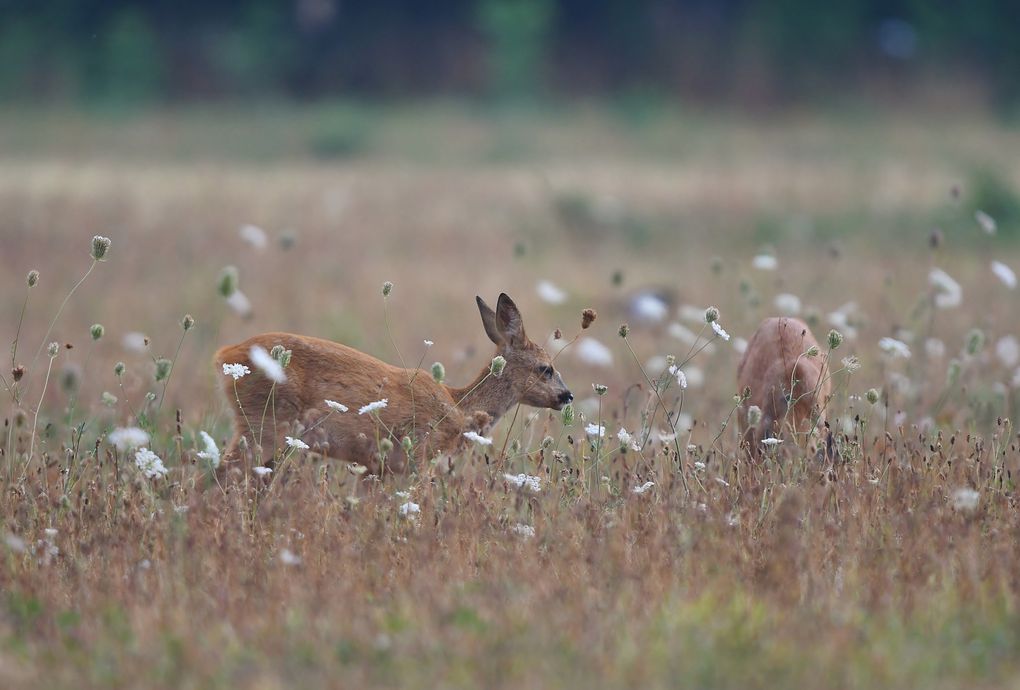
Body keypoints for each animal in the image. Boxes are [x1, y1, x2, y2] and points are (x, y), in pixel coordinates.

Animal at [213, 291, 575, 473]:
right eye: (545, 368)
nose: (567, 395)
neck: (459, 408)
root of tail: (224, 354)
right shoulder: (417, 455)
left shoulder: (379, 467)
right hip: (264, 423)